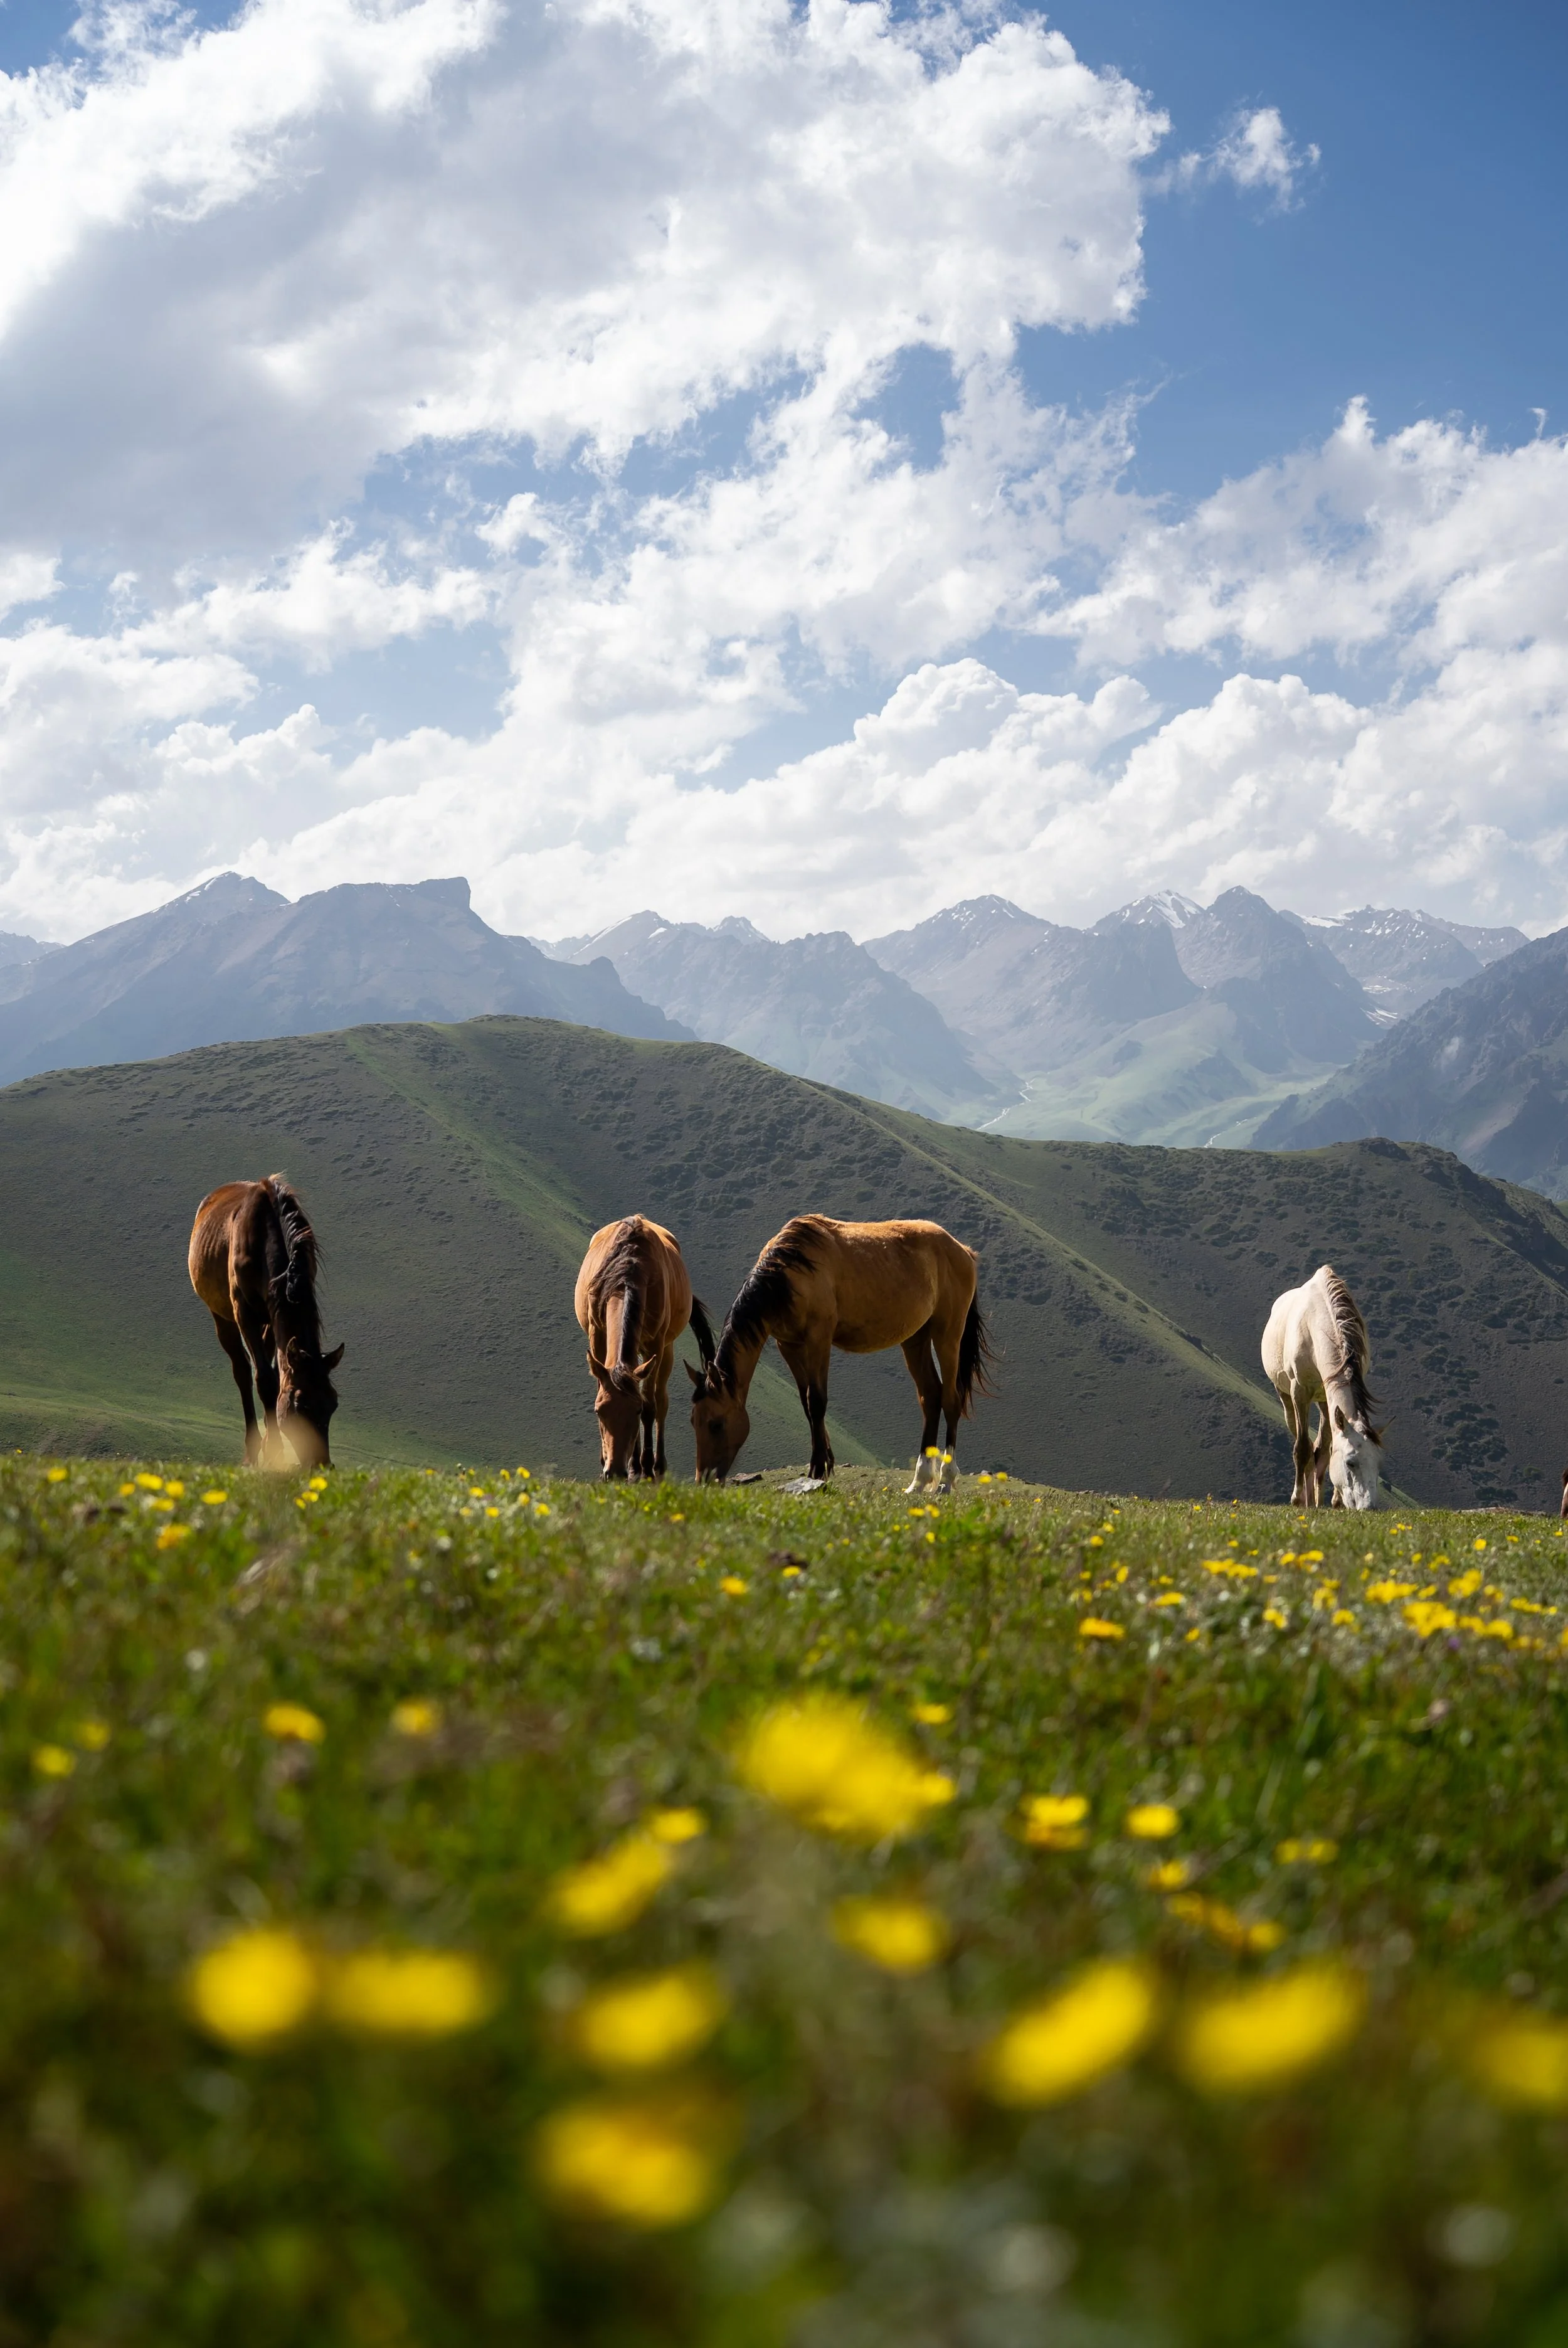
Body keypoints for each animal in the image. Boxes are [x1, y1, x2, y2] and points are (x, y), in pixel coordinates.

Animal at [188, 1176, 343, 1470]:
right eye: (300, 1405)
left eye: (333, 1404)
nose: (320, 1464)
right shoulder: (244, 1313)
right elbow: (264, 1380)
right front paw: (273, 1452)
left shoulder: (273, 1317)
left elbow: (274, 1375)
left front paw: (275, 1447)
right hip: (222, 1317)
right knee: (242, 1371)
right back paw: (253, 1449)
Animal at [575, 1216, 716, 1480]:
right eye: (599, 1411)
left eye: (637, 1412)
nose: (614, 1472)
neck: (625, 1277)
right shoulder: (597, 1336)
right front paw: (619, 1464)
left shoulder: (655, 1344)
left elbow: (651, 1404)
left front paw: (648, 1466)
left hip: (666, 1349)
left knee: (661, 1400)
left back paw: (655, 1465)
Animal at [687, 1215, 990, 1488]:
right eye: (693, 1421)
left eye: (716, 1424)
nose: (704, 1479)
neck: (788, 1274)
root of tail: (962, 1251)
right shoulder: (789, 1346)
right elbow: (806, 1404)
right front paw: (822, 1464)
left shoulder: (819, 1340)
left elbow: (817, 1401)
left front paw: (819, 1470)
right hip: (916, 1338)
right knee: (931, 1397)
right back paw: (919, 1481)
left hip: (948, 1333)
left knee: (951, 1399)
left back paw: (946, 1482)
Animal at [1261, 1265, 1383, 1510]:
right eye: (1351, 1462)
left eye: (1377, 1464)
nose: (1369, 1507)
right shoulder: (1300, 1393)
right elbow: (1302, 1449)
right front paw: (1297, 1499)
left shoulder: (1328, 1396)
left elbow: (1329, 1448)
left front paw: (1336, 1501)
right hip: (1287, 1397)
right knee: (1306, 1445)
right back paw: (1307, 1501)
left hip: (1324, 1402)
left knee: (1320, 1448)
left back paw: (1318, 1502)